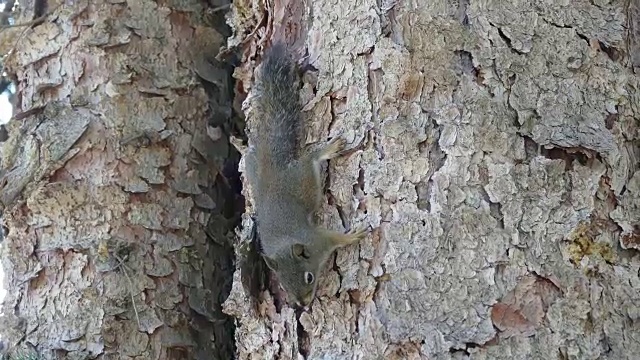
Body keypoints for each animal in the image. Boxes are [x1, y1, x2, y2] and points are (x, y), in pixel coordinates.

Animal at [244, 41, 368, 306]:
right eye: (283, 284)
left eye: (309, 277)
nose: (301, 304)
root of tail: (273, 172)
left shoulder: (319, 241)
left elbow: (335, 240)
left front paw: (351, 237)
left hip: (305, 183)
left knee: (310, 159)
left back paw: (326, 150)